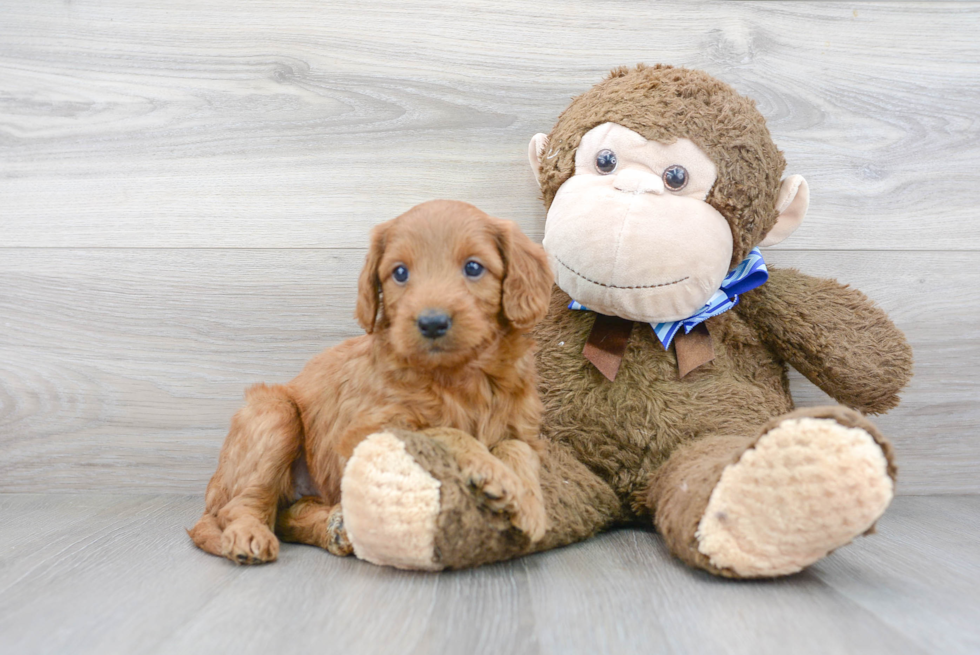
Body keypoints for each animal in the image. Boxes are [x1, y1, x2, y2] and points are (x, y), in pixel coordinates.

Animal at [189, 200, 556, 564]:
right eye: (400, 273)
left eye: (474, 267)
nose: (432, 323)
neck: (460, 375)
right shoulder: (365, 432)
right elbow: (442, 430)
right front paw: (492, 471)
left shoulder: (524, 428)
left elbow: (518, 447)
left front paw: (529, 502)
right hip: (274, 413)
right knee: (240, 506)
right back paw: (249, 534)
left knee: (287, 516)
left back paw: (335, 528)